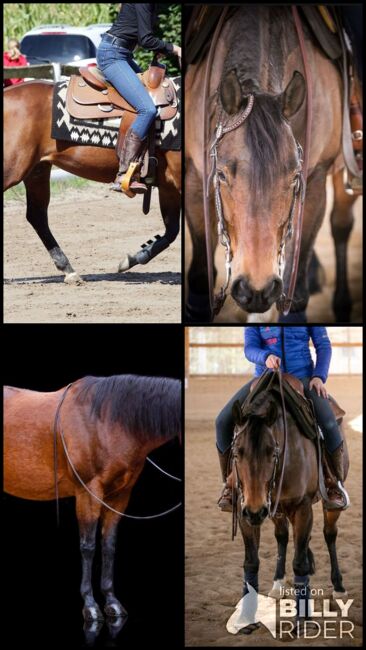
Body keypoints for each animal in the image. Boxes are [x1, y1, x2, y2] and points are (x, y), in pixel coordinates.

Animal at [2, 79, 180, 282]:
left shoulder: (169, 187)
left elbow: (172, 230)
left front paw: (134, 258)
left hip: (37, 171)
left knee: (37, 216)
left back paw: (68, 269)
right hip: (15, 168)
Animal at [2, 374, 180, 616]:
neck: (108, 421)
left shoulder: (119, 497)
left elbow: (109, 546)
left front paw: (112, 601)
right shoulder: (89, 492)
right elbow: (88, 547)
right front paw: (90, 605)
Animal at [186, 5, 360, 318]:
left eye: (294, 178)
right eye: (221, 175)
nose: (256, 290)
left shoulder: (315, 180)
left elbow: (296, 291)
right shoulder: (195, 175)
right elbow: (198, 284)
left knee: (341, 224)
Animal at [227, 372, 350, 632]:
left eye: (272, 452)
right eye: (236, 453)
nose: (256, 511)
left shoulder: (302, 508)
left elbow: (300, 563)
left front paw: (302, 619)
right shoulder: (245, 509)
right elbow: (251, 562)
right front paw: (246, 616)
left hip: (324, 504)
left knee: (329, 534)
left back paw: (339, 589)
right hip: (275, 510)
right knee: (282, 537)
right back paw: (277, 584)